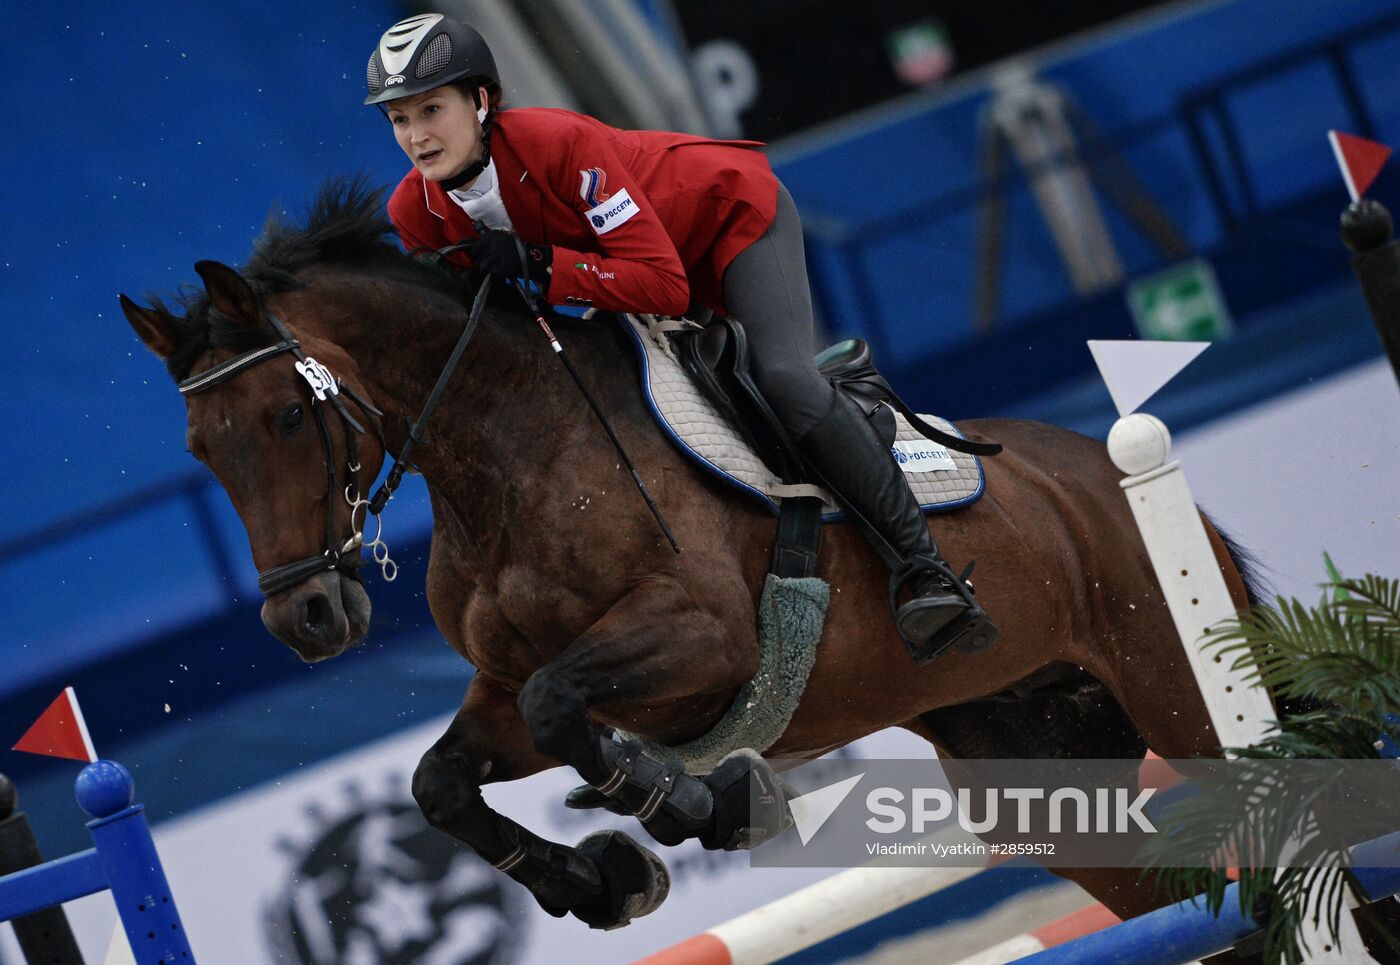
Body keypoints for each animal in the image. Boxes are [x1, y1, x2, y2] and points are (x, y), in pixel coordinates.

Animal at [123, 178, 1260, 924]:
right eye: (200, 449)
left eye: (284, 416)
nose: (305, 620)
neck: (509, 445)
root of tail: (1104, 472)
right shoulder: (506, 688)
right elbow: (440, 781)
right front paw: (601, 881)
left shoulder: (699, 641)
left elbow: (568, 708)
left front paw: (701, 807)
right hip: (1039, 767)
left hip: (1176, 687)